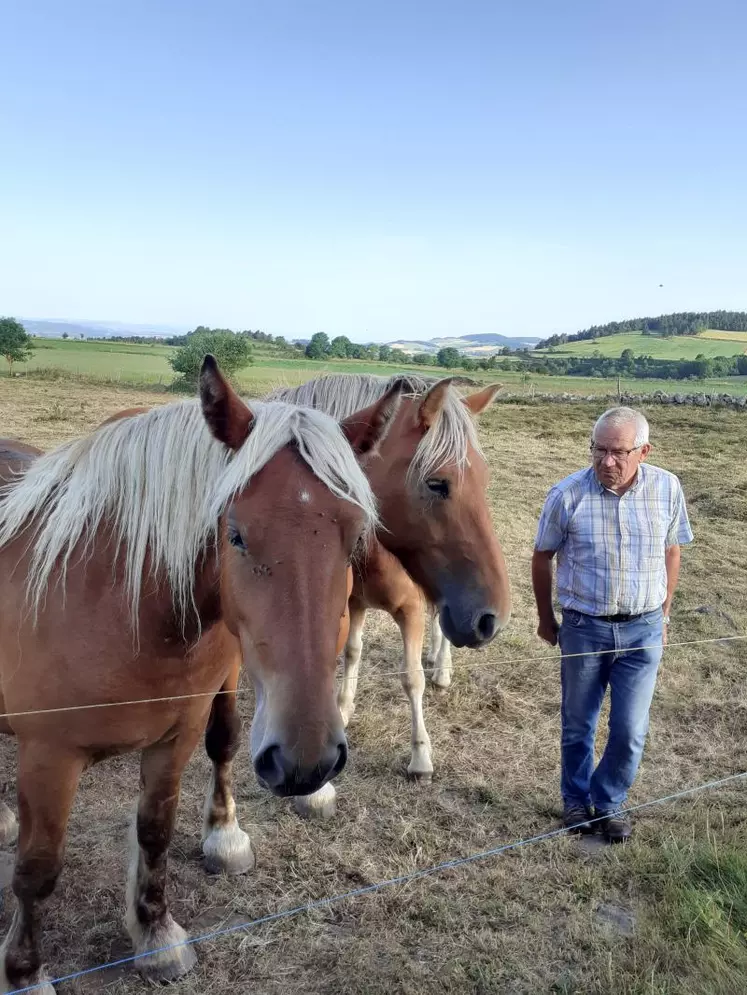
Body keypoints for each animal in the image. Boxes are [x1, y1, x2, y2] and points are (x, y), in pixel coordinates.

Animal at [0, 360, 398, 995]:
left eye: (355, 537)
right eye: (235, 534)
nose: (306, 758)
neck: (113, 601)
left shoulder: (177, 736)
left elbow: (155, 832)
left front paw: (156, 935)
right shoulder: (48, 757)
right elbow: (38, 871)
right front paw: (24, 973)